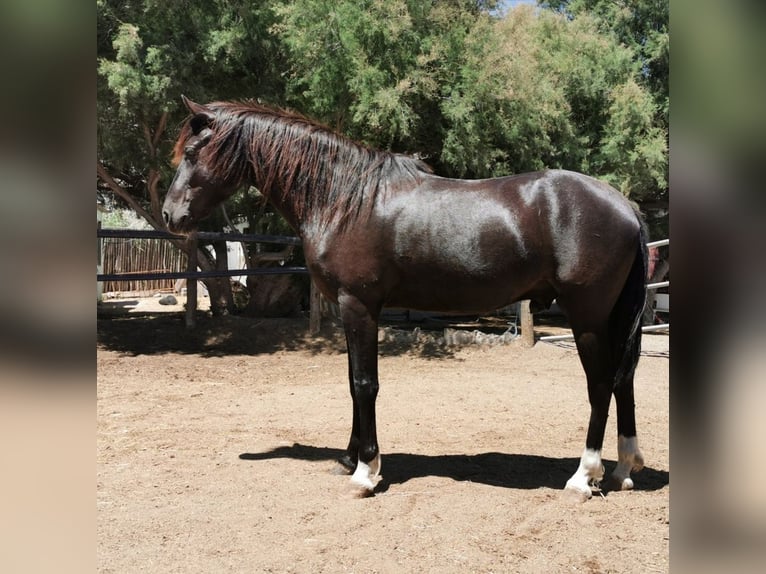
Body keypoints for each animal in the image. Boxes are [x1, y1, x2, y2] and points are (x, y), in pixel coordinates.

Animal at [162, 95, 648, 500]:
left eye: (193, 152)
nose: (169, 215)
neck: (343, 197)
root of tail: (626, 206)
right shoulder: (350, 310)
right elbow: (352, 383)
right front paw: (350, 457)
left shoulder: (359, 306)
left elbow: (366, 384)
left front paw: (366, 472)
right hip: (614, 318)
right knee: (624, 381)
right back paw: (623, 469)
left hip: (587, 317)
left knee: (600, 384)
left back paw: (583, 477)